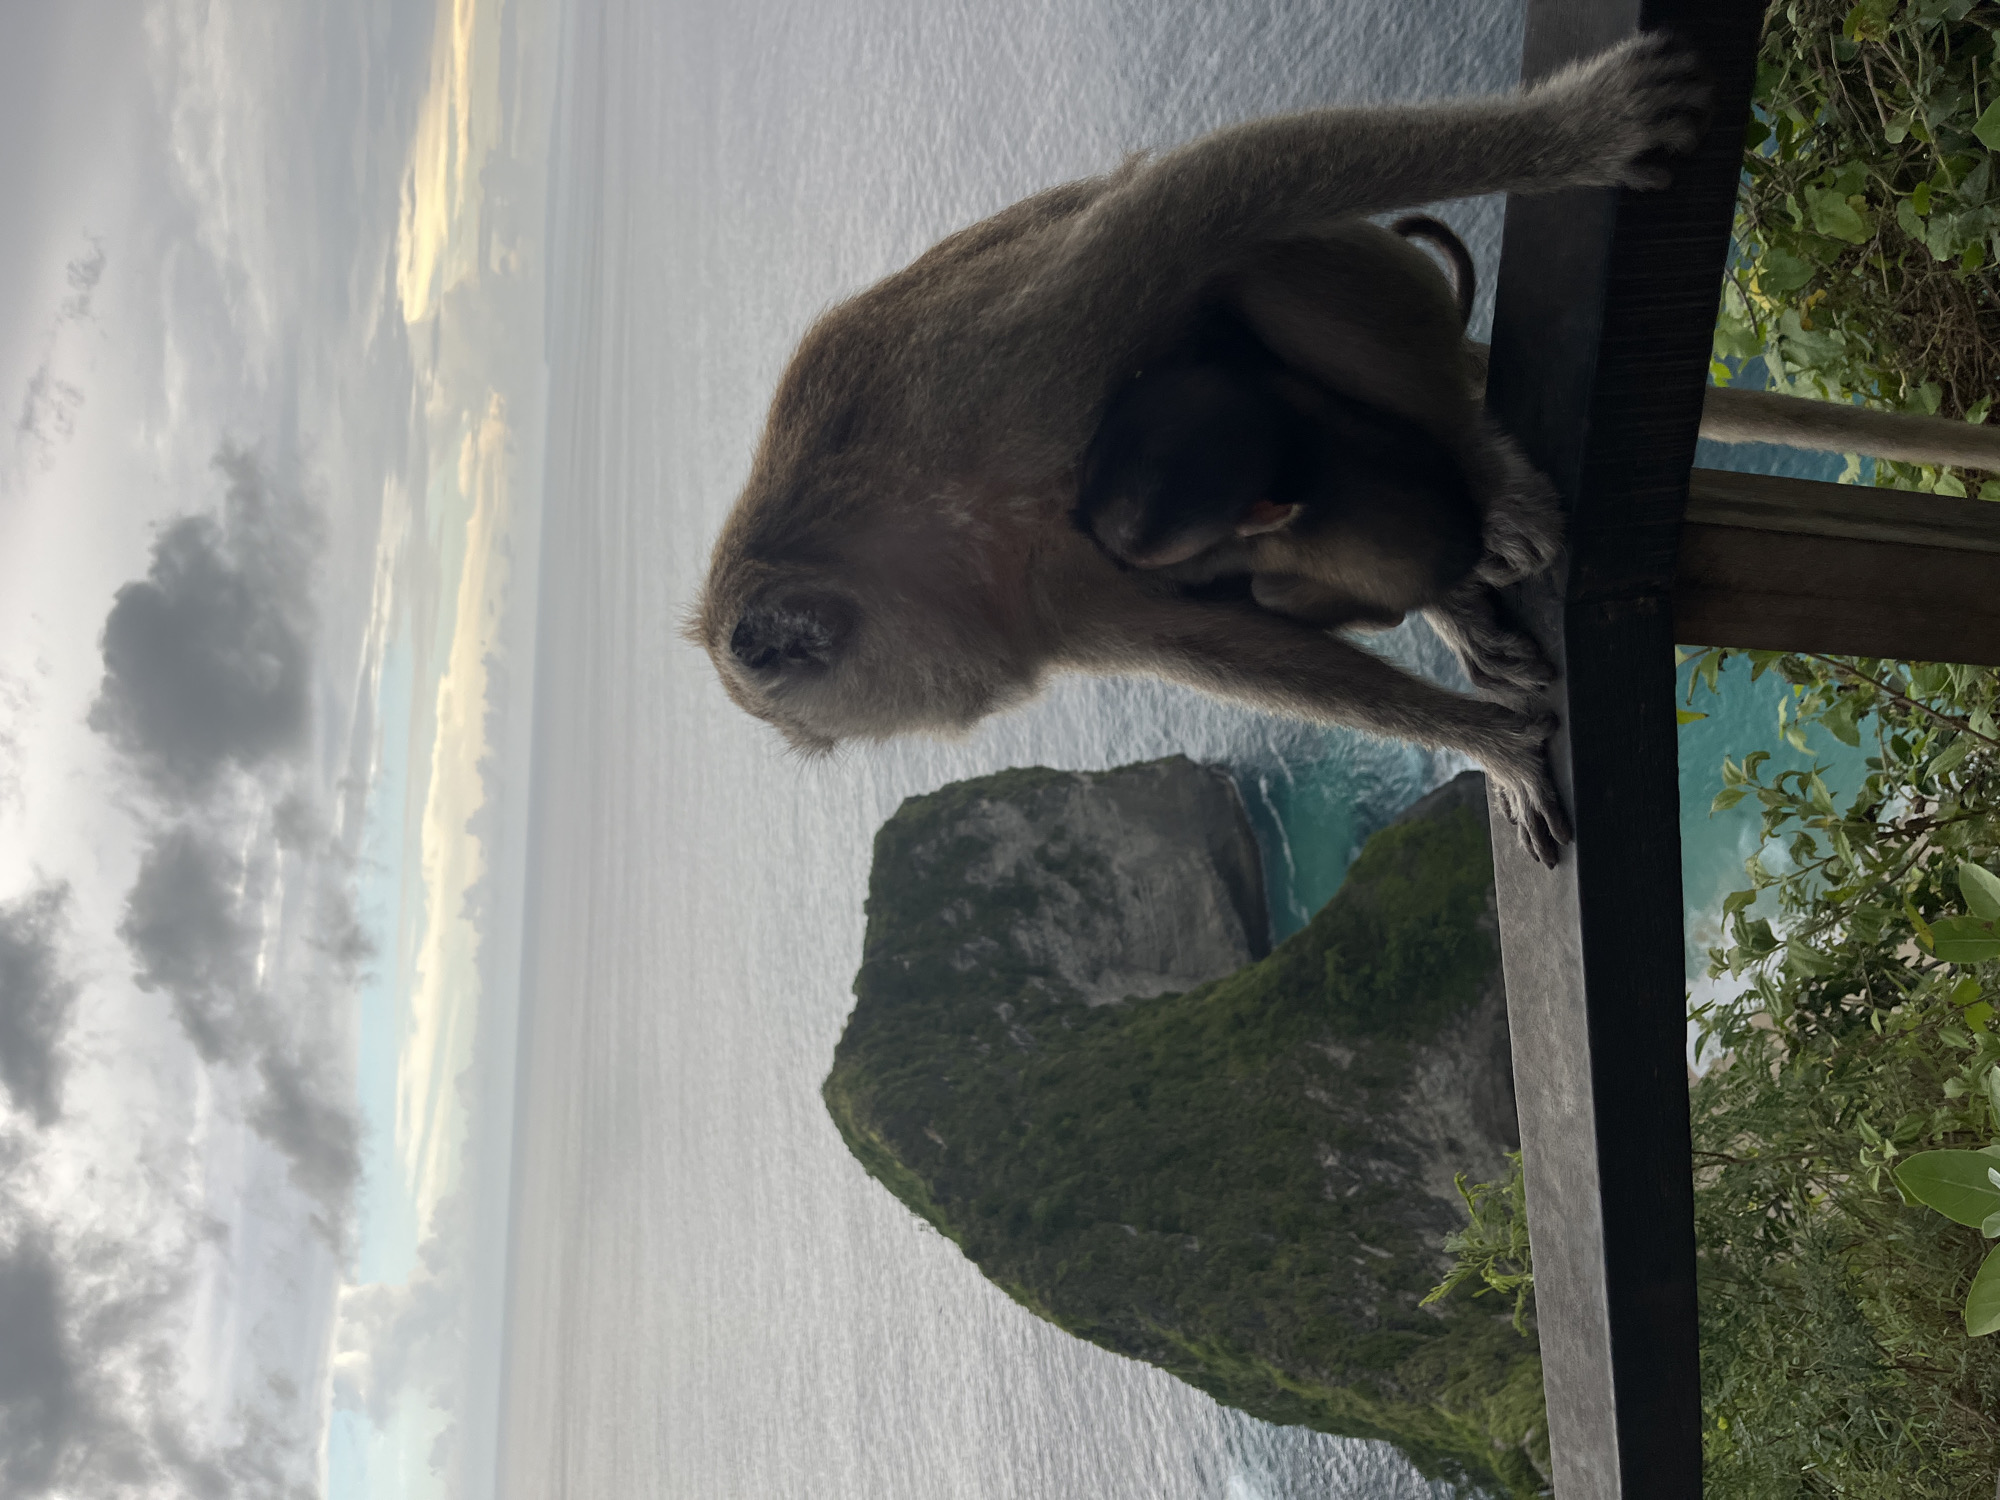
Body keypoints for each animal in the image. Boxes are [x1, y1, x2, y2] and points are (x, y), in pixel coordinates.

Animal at [690, 34, 1711, 868]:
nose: (970, 701)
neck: (928, 524)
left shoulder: (979, 383)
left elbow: (1189, 208)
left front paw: (1587, 129)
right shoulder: (1041, 590)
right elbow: (1215, 645)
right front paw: (1488, 742)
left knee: (1255, 257)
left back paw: (1485, 468)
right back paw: (1451, 589)